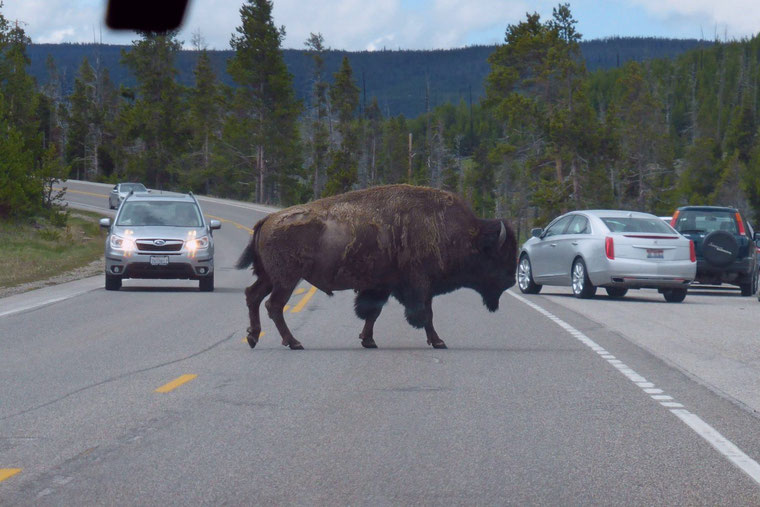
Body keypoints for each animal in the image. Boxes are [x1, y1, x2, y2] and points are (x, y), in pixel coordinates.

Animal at [238, 185, 520, 352]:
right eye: (500, 255)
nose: (511, 280)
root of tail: (268, 218)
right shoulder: (420, 285)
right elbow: (425, 314)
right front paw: (438, 341)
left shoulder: (382, 286)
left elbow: (372, 313)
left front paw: (368, 340)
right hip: (287, 279)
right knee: (273, 305)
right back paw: (293, 342)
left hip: (270, 277)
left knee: (253, 296)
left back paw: (253, 337)